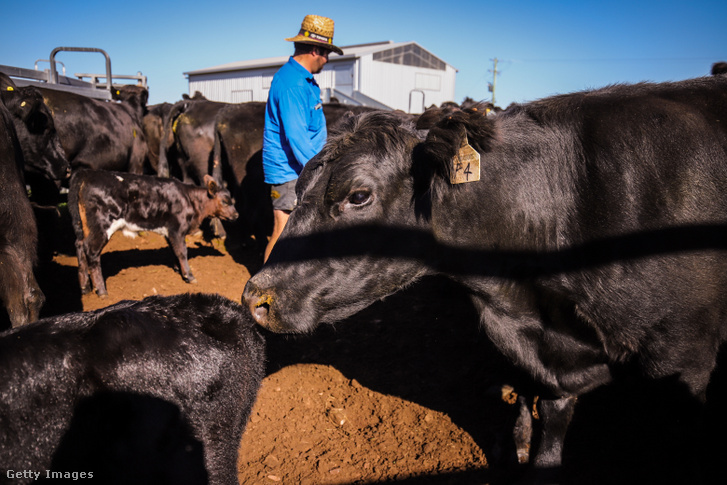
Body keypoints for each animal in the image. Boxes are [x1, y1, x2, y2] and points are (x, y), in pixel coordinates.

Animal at [69, 167, 239, 294]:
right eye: (225, 201)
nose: (236, 215)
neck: (190, 200)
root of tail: (86, 173)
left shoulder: (169, 232)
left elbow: (174, 250)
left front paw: (178, 269)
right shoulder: (177, 229)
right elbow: (182, 252)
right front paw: (189, 276)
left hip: (83, 226)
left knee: (79, 246)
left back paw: (85, 288)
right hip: (101, 226)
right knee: (91, 251)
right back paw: (101, 290)